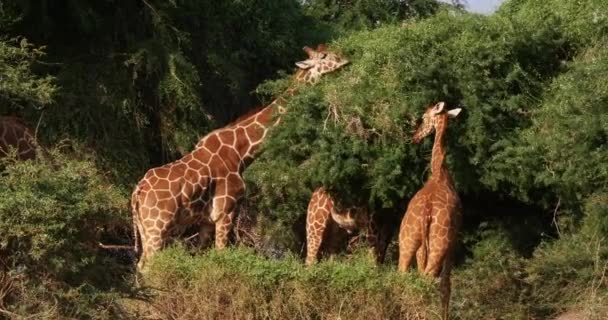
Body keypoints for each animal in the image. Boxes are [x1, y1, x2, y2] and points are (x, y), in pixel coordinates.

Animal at [131, 44, 350, 270]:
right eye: (324, 56)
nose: (346, 60)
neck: (240, 153)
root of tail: (137, 193)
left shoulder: (207, 220)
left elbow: (202, 257)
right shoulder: (225, 212)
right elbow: (220, 255)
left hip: (144, 229)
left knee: (140, 265)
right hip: (157, 228)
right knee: (147, 266)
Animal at [396, 102, 464, 320]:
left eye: (424, 117)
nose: (415, 137)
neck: (439, 172)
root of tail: (427, 211)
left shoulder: (420, 247)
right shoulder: (453, 244)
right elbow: (446, 285)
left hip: (408, 240)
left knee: (404, 274)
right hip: (439, 244)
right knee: (428, 279)